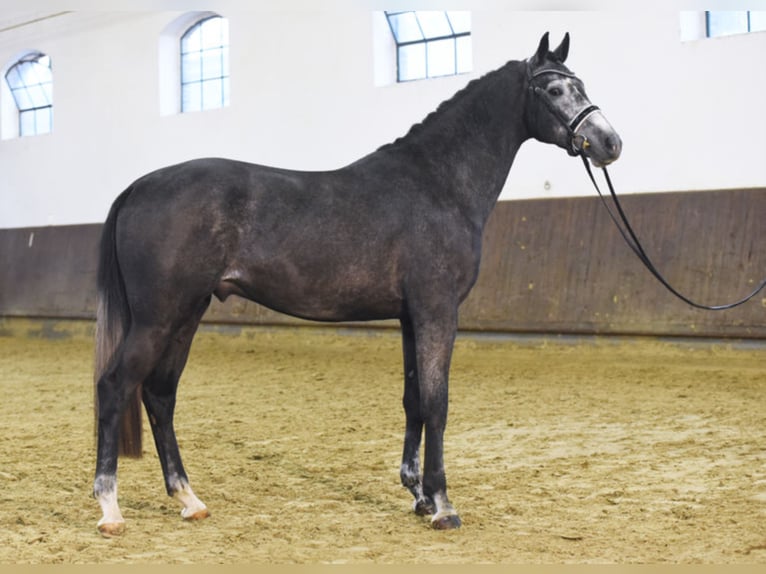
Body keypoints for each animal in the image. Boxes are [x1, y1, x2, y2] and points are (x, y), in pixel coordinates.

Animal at [94, 30, 624, 536]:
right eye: (555, 89)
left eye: (580, 85)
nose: (610, 143)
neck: (438, 184)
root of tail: (137, 187)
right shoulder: (437, 310)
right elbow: (437, 402)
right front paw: (443, 505)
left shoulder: (411, 316)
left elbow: (414, 401)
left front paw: (418, 495)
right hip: (158, 318)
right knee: (115, 385)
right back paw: (110, 508)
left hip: (187, 312)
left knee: (159, 394)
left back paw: (189, 500)